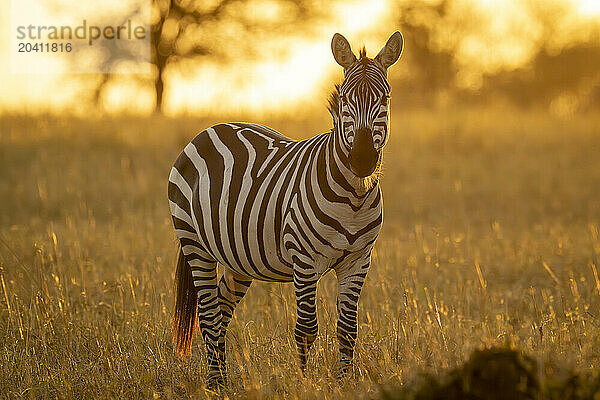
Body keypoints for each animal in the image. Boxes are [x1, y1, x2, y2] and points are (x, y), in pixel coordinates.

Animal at [169, 31, 404, 384]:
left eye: (385, 100)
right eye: (344, 100)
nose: (362, 159)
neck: (354, 196)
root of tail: (211, 128)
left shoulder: (358, 260)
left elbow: (348, 329)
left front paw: (345, 382)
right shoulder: (304, 260)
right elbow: (306, 329)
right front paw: (306, 383)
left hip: (239, 258)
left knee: (221, 309)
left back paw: (221, 377)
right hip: (195, 244)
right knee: (208, 313)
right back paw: (214, 383)